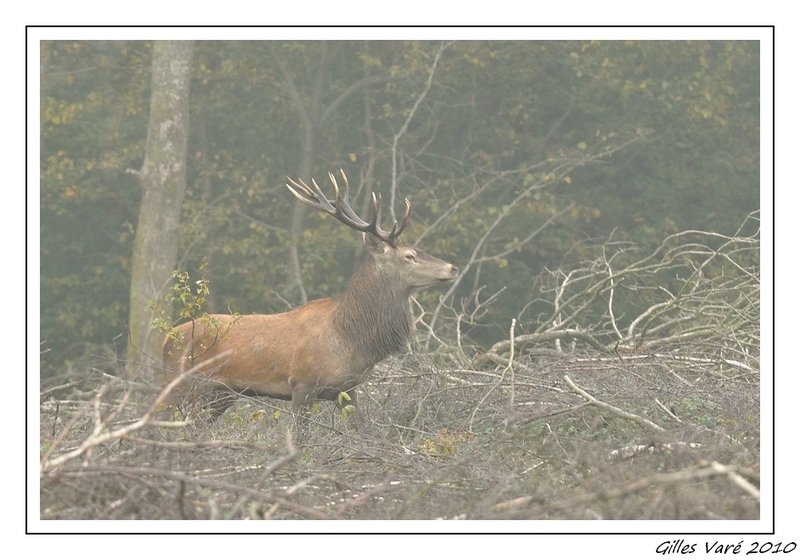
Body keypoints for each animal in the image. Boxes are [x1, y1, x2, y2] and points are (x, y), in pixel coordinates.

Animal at [162, 169, 458, 426]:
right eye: (410, 256)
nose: (452, 268)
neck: (350, 338)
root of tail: (166, 338)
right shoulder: (301, 384)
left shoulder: (348, 389)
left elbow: (363, 431)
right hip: (178, 382)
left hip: (221, 393)